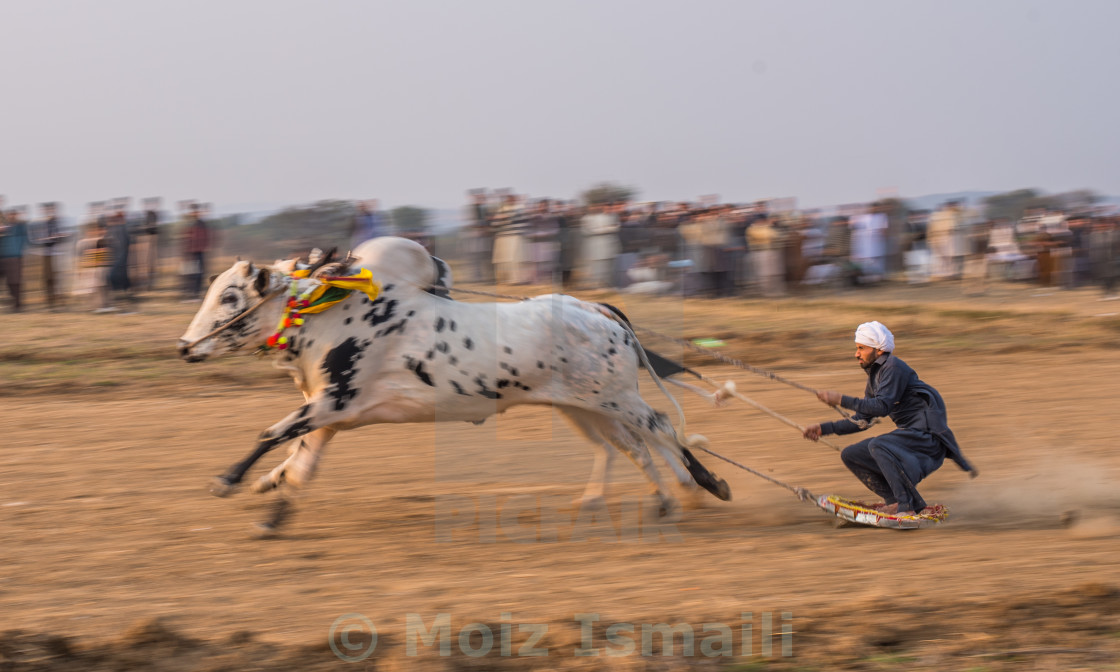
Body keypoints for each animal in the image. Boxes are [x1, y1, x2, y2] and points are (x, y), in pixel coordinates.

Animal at [178, 235, 730, 530]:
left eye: (230, 296)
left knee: (662, 430)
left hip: (618, 399)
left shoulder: (332, 403)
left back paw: (706, 485)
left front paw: (230, 481)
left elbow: (273, 436)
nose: (184, 347)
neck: (331, 312)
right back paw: (662, 501)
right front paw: (271, 501)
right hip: (586, 407)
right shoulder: (330, 414)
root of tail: (597, 310)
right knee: (634, 447)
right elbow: (300, 465)